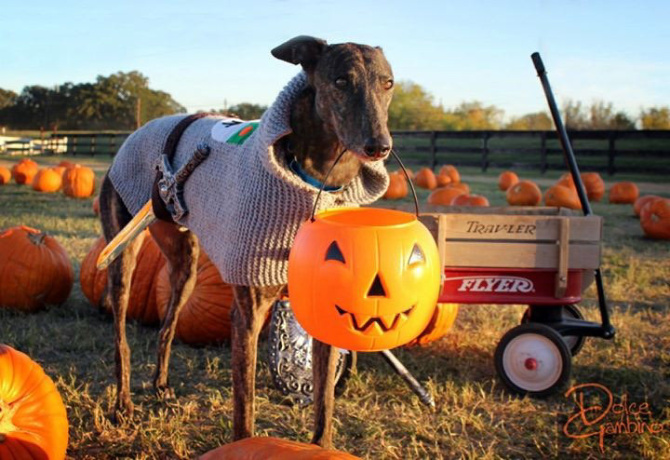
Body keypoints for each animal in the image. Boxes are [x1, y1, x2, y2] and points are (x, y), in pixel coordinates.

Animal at [99, 35, 394, 446]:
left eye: (388, 83)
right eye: (340, 81)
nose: (378, 146)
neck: (312, 180)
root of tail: (139, 132)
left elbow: (324, 403)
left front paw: (324, 447)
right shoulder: (247, 314)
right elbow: (245, 412)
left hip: (184, 266)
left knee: (166, 327)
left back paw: (160, 384)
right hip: (122, 256)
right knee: (121, 338)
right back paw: (122, 403)